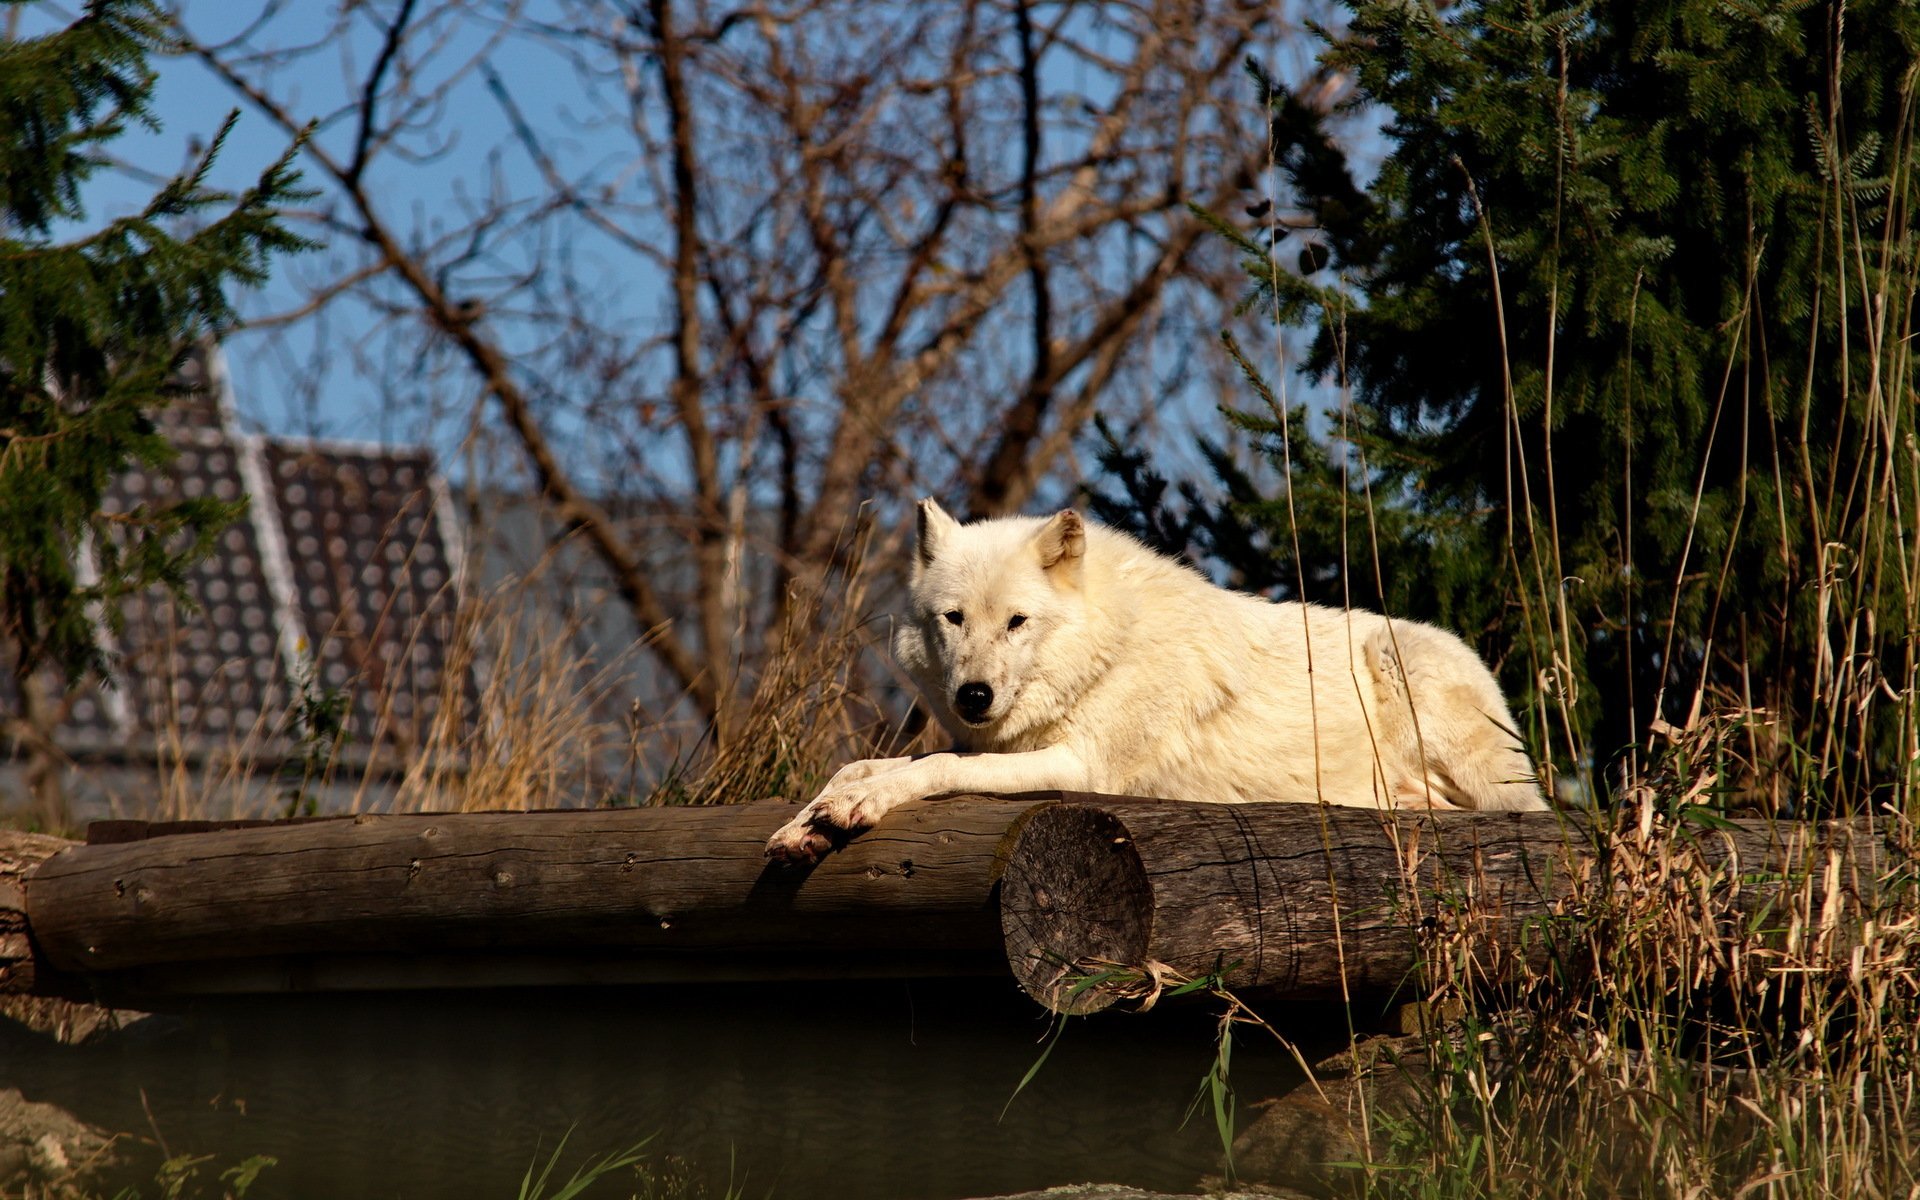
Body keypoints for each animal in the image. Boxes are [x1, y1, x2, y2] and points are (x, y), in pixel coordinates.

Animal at [765, 500, 1546, 864]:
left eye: (1017, 622)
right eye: (953, 619)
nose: (974, 697)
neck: (1105, 653)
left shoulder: (1078, 766)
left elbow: (938, 771)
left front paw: (858, 806)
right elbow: (872, 764)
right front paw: (810, 818)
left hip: (1406, 671)